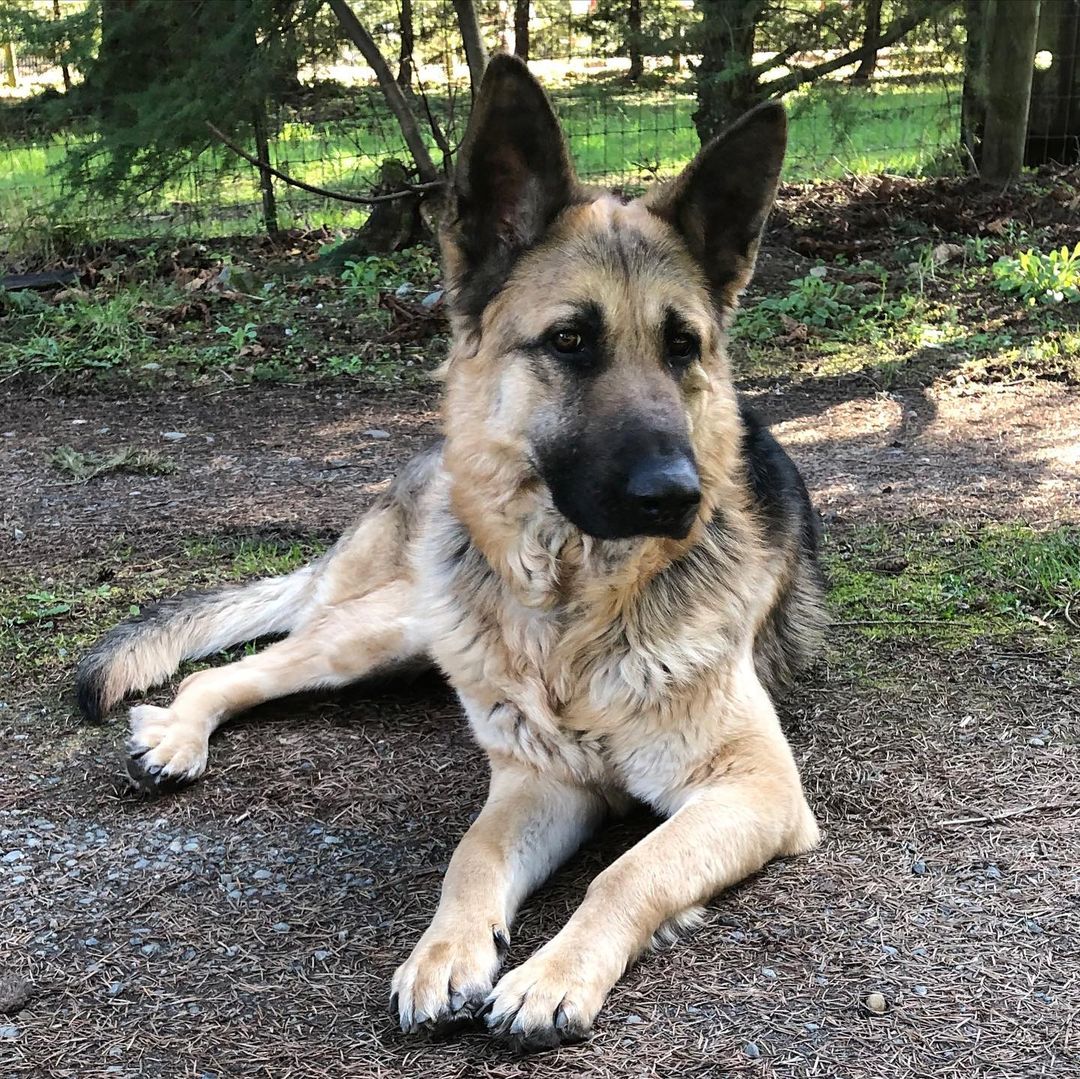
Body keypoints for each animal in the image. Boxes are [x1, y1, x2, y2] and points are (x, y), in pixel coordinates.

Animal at [76, 54, 820, 1049]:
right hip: (386, 631)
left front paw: (553, 973)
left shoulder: (754, 788)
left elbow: (626, 869)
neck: (573, 618)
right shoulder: (542, 778)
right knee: (233, 670)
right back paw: (177, 732)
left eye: (683, 346)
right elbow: (472, 855)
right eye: (570, 341)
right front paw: (447, 951)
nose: (678, 496)